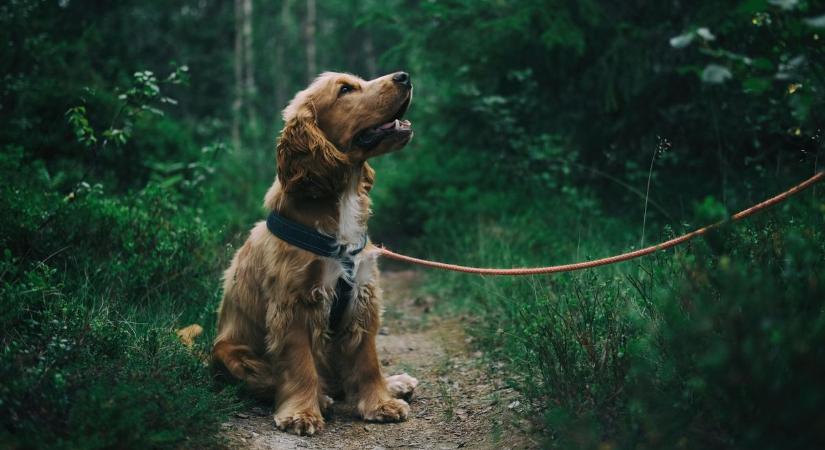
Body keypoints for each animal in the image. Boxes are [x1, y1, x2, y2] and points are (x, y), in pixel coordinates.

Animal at [212, 71, 418, 436]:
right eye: (346, 89)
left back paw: (394, 383)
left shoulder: (363, 295)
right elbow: (299, 364)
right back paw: (321, 398)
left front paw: (381, 403)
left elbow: (367, 360)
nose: (404, 76)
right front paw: (302, 413)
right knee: (272, 380)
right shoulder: (294, 303)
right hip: (229, 352)